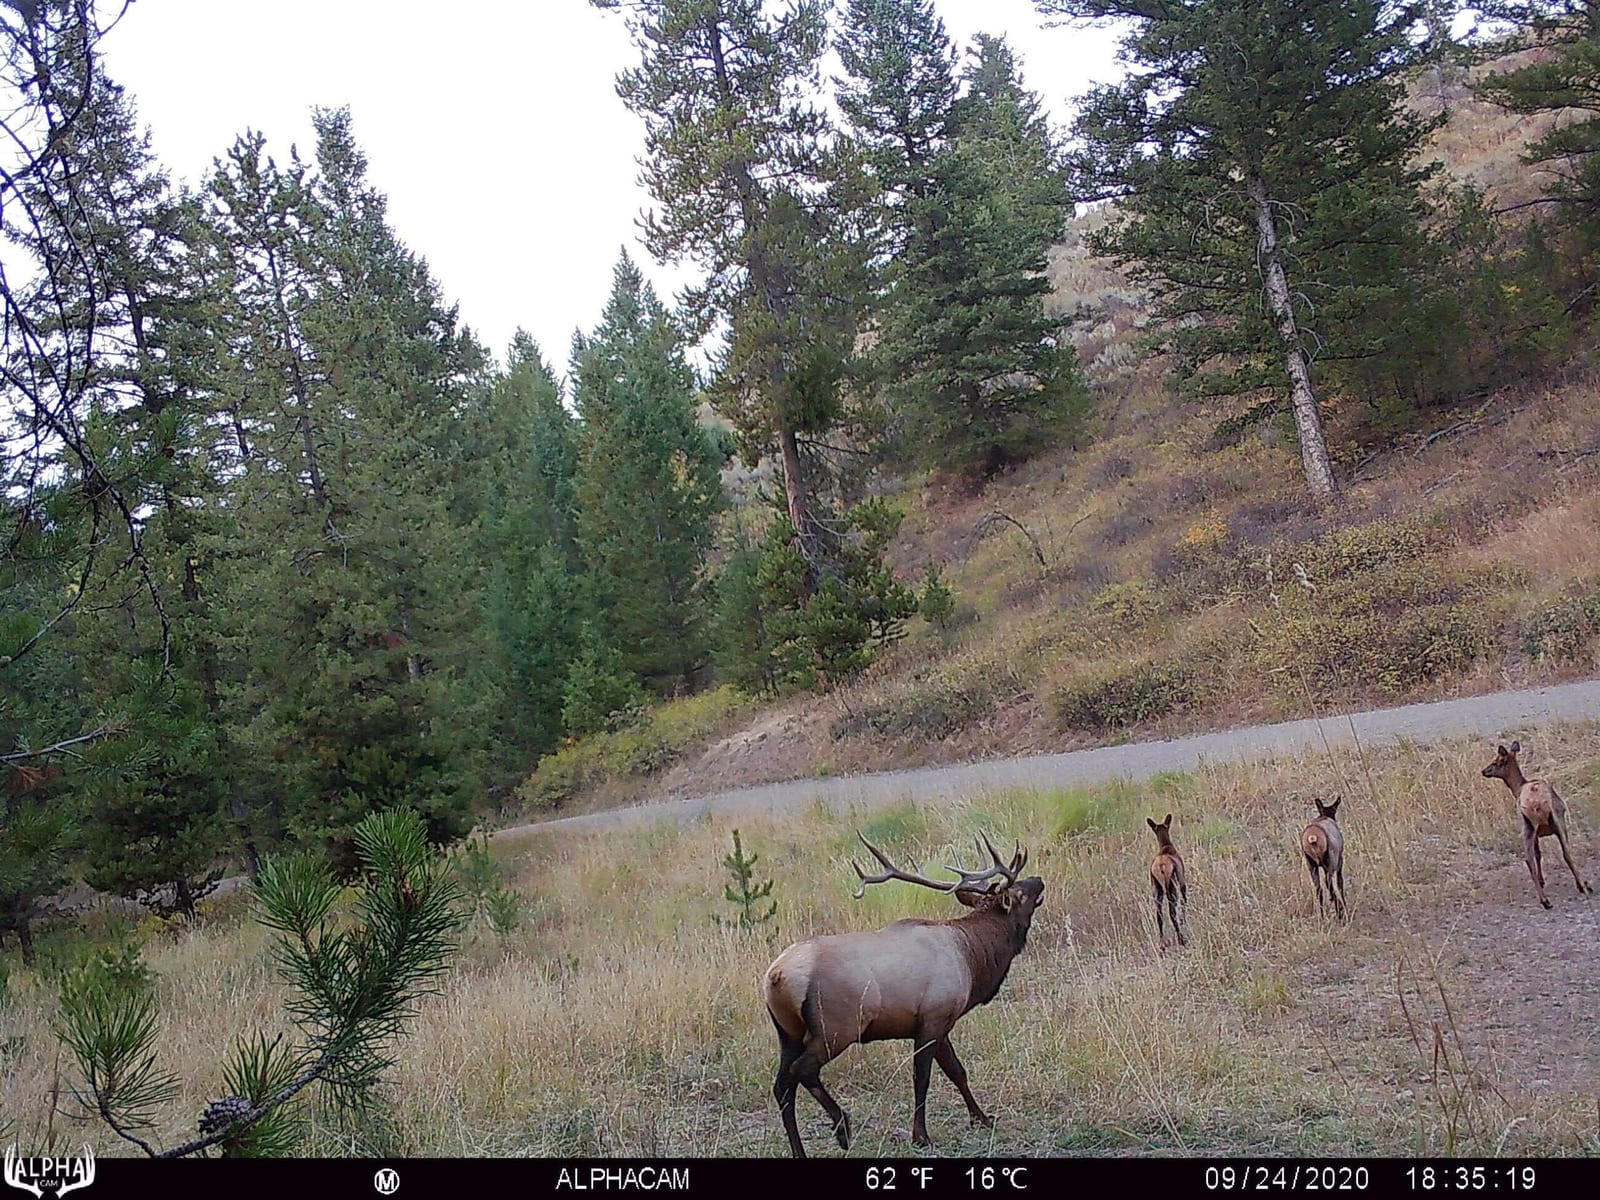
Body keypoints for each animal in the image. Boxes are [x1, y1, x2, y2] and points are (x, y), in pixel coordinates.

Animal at [762, 832, 1044, 1158]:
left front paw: (982, 1118)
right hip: (837, 1028)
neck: (972, 959)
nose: (1038, 879)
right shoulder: (933, 1017)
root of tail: (777, 977)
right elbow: (922, 1078)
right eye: (1020, 892)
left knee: (782, 1086)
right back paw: (843, 1127)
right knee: (802, 1071)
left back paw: (801, 1150)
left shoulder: (940, 1024)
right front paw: (921, 1135)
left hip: (788, 1033)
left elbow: (957, 1071)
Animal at [1147, 813, 1187, 947]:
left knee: (1158, 915)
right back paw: (1181, 939)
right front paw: (1183, 919)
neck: (1166, 846)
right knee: (1172, 912)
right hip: (1171, 886)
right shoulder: (1182, 881)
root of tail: (1161, 866)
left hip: (1157, 888)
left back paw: (1162, 944)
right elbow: (1184, 901)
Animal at [1481, 740, 1592, 909]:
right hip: (1558, 820)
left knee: (1529, 859)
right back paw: (1583, 886)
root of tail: (1539, 803)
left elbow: (1538, 854)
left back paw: (1545, 900)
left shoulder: (1535, 832)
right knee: (1566, 852)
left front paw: (1542, 880)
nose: (1484, 771)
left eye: (1496, 761)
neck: (1517, 788)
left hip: (1528, 825)